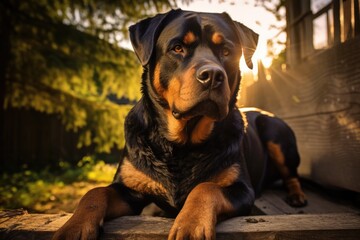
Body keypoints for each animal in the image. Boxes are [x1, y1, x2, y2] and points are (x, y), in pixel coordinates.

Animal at [52, 8, 306, 240]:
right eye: (177, 48)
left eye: (226, 51)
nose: (212, 75)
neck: (181, 145)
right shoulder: (129, 188)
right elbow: (95, 193)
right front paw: (73, 227)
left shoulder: (242, 189)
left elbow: (206, 188)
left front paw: (191, 225)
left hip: (275, 132)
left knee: (292, 173)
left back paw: (296, 196)